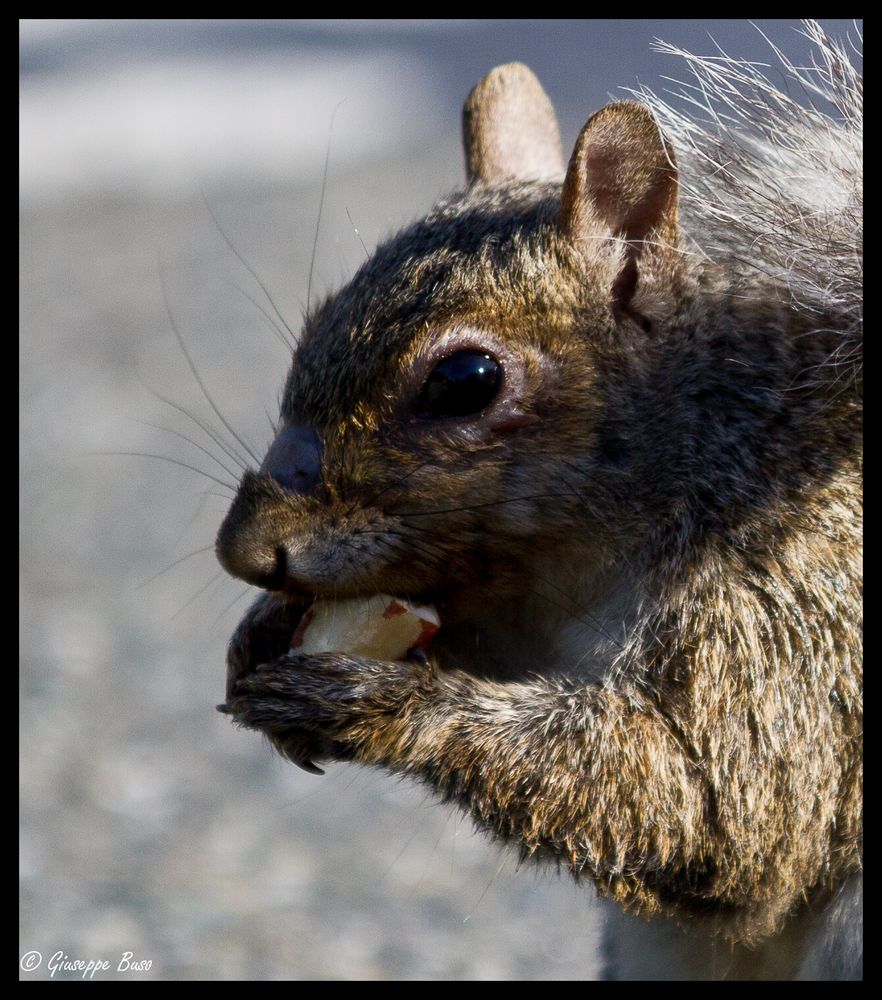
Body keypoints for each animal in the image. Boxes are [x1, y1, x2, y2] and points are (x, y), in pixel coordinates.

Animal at [213, 23, 860, 984]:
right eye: (318, 320)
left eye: (466, 380)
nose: (246, 551)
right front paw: (262, 628)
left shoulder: (788, 617)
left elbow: (719, 808)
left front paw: (377, 702)